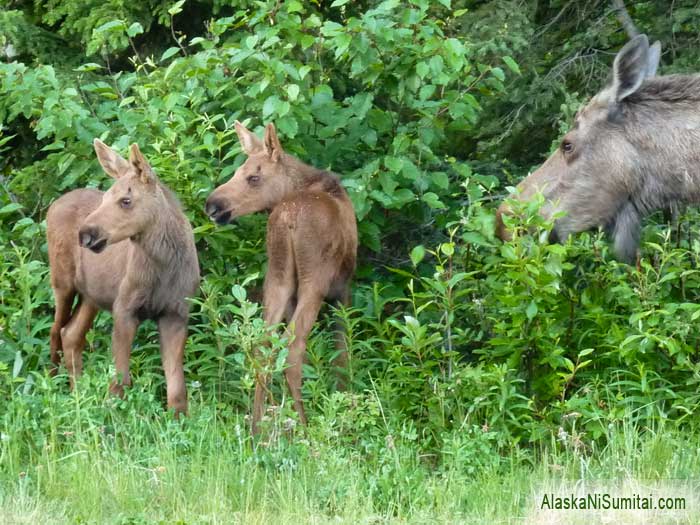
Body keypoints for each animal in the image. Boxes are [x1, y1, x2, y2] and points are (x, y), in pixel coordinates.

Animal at [46, 140, 200, 414]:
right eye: (105, 197)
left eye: (126, 200)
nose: (85, 234)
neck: (164, 267)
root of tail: (52, 206)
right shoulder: (124, 308)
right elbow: (120, 380)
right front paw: (111, 416)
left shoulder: (176, 313)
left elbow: (177, 390)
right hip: (62, 282)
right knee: (55, 331)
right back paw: (55, 390)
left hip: (91, 296)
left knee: (71, 334)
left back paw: (78, 396)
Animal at [202, 121, 356, 432]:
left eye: (252, 177)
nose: (212, 205)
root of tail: (286, 218)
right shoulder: (342, 290)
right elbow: (342, 351)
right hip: (313, 283)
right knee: (293, 347)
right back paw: (304, 426)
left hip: (277, 276)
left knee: (263, 345)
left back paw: (257, 427)